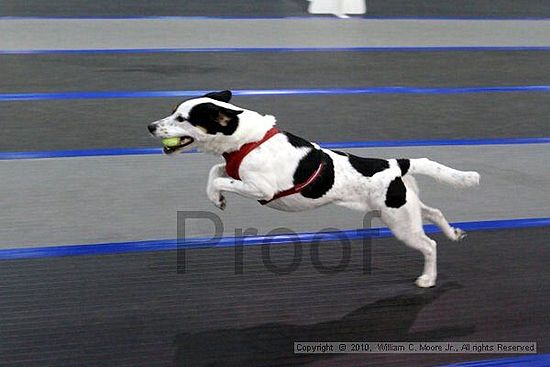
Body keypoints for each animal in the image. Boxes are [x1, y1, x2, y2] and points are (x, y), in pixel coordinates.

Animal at [149, 90, 480, 288]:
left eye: (182, 119)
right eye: (173, 111)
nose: (150, 126)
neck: (247, 139)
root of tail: (396, 164)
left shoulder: (261, 189)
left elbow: (221, 178)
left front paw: (217, 196)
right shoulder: (234, 170)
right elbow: (215, 172)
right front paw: (215, 197)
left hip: (400, 222)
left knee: (430, 245)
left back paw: (428, 277)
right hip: (403, 208)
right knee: (434, 212)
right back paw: (454, 233)